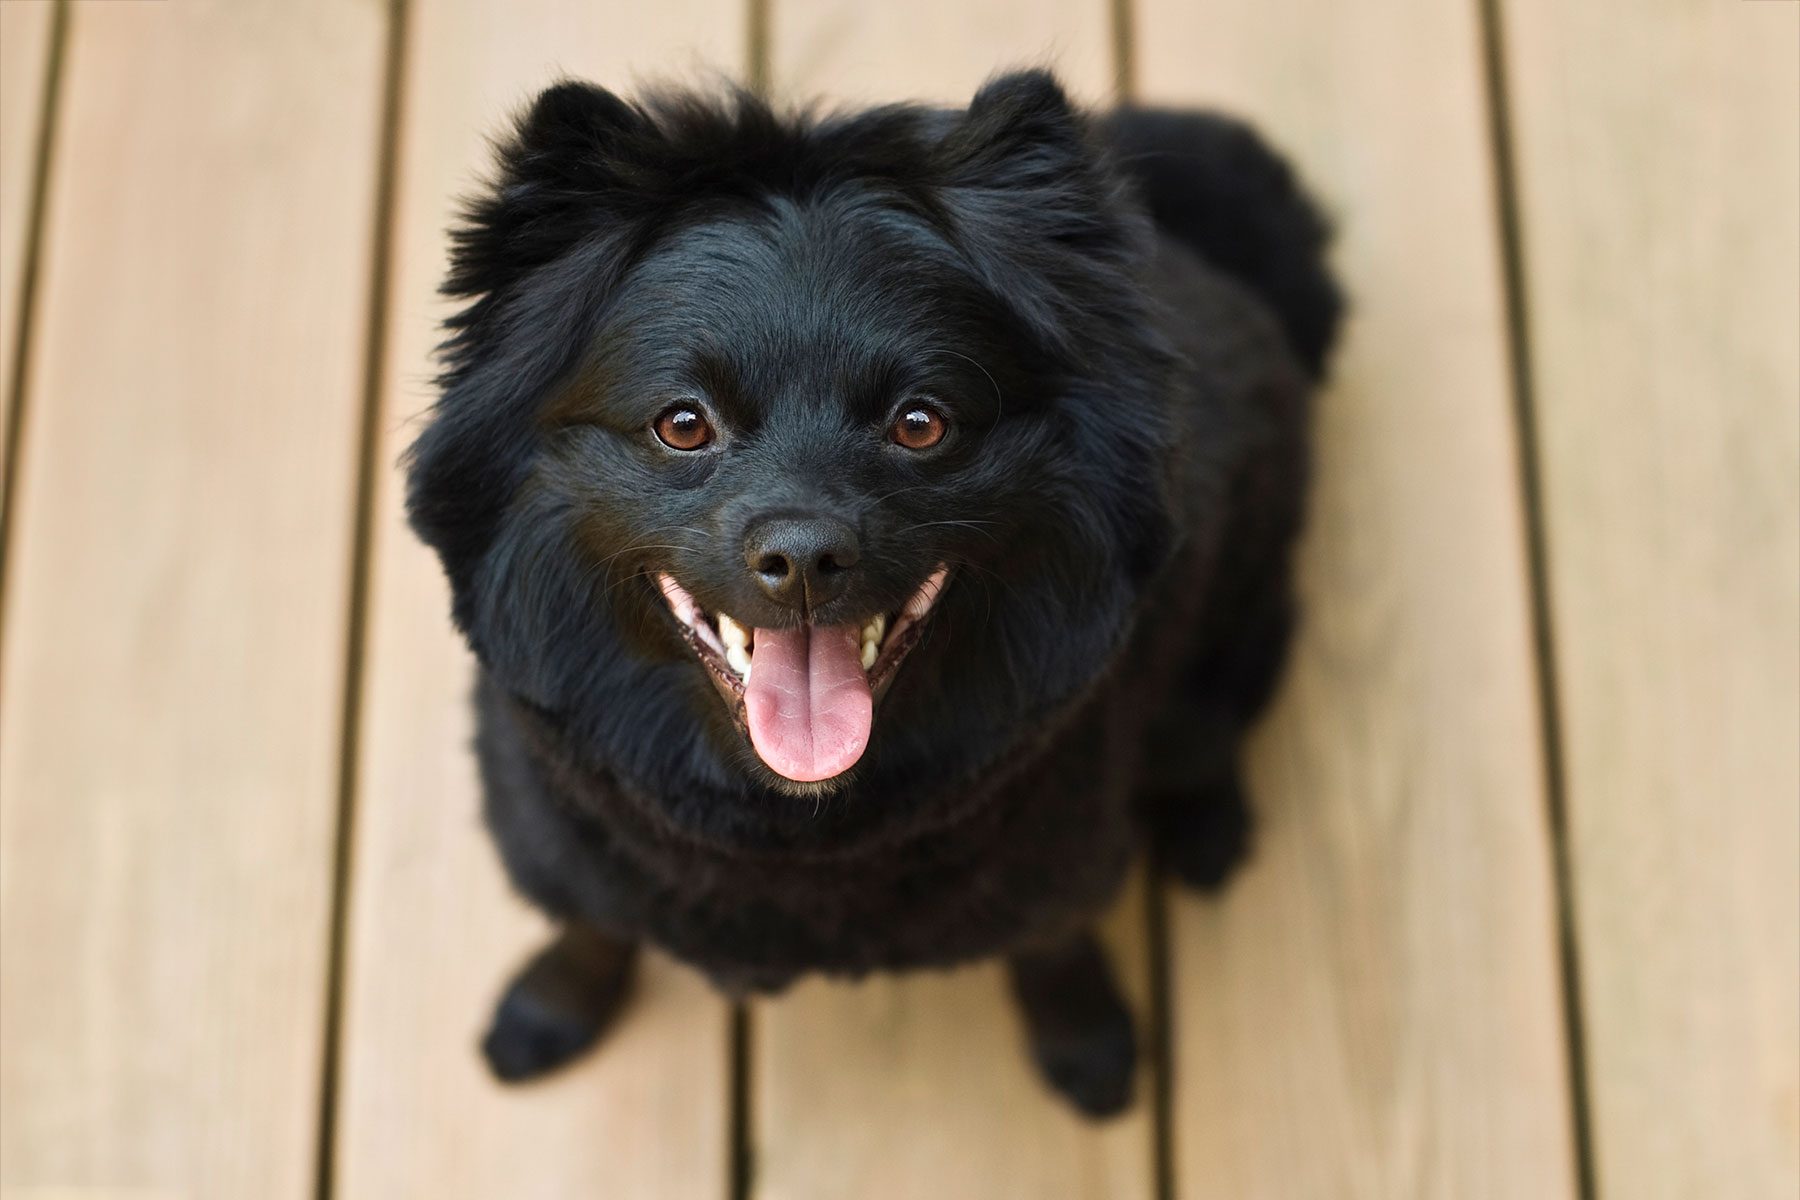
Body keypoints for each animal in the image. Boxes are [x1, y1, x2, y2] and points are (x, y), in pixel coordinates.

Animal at [408, 67, 1339, 1115]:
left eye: (919, 423)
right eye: (683, 425)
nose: (805, 554)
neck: (796, 835)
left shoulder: (1066, 862)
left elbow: (1055, 953)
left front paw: (1087, 1039)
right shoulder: (558, 843)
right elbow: (591, 926)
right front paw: (549, 1005)